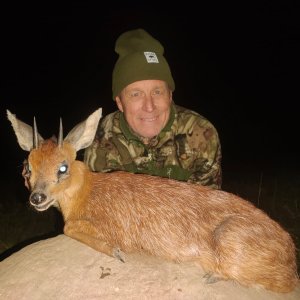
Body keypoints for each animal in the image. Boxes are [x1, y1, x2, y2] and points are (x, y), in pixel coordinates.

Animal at [7, 108, 300, 292]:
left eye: (63, 167)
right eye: (27, 168)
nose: (37, 197)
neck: (87, 192)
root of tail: (290, 257)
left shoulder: (111, 228)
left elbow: (70, 228)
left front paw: (115, 252)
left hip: (231, 241)